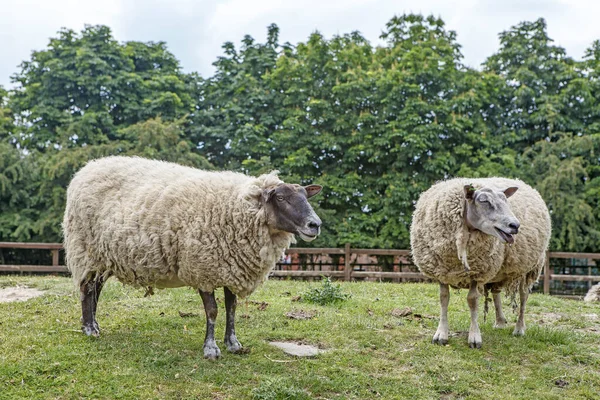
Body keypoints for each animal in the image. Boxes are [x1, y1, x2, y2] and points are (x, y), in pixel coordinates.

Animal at [62, 156, 322, 360]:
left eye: (305, 196)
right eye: (281, 198)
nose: (315, 224)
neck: (238, 209)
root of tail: (86, 168)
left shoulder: (231, 269)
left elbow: (231, 308)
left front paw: (233, 344)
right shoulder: (202, 268)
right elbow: (213, 311)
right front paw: (211, 349)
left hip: (103, 256)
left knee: (96, 289)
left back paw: (92, 324)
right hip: (85, 250)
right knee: (87, 289)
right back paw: (89, 329)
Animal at [410, 177, 552, 348]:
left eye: (506, 200)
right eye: (484, 201)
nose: (515, 226)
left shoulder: (476, 273)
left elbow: (472, 301)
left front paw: (474, 337)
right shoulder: (442, 271)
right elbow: (443, 299)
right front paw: (441, 335)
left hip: (530, 267)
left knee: (523, 295)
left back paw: (519, 329)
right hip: (498, 270)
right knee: (496, 292)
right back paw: (500, 322)